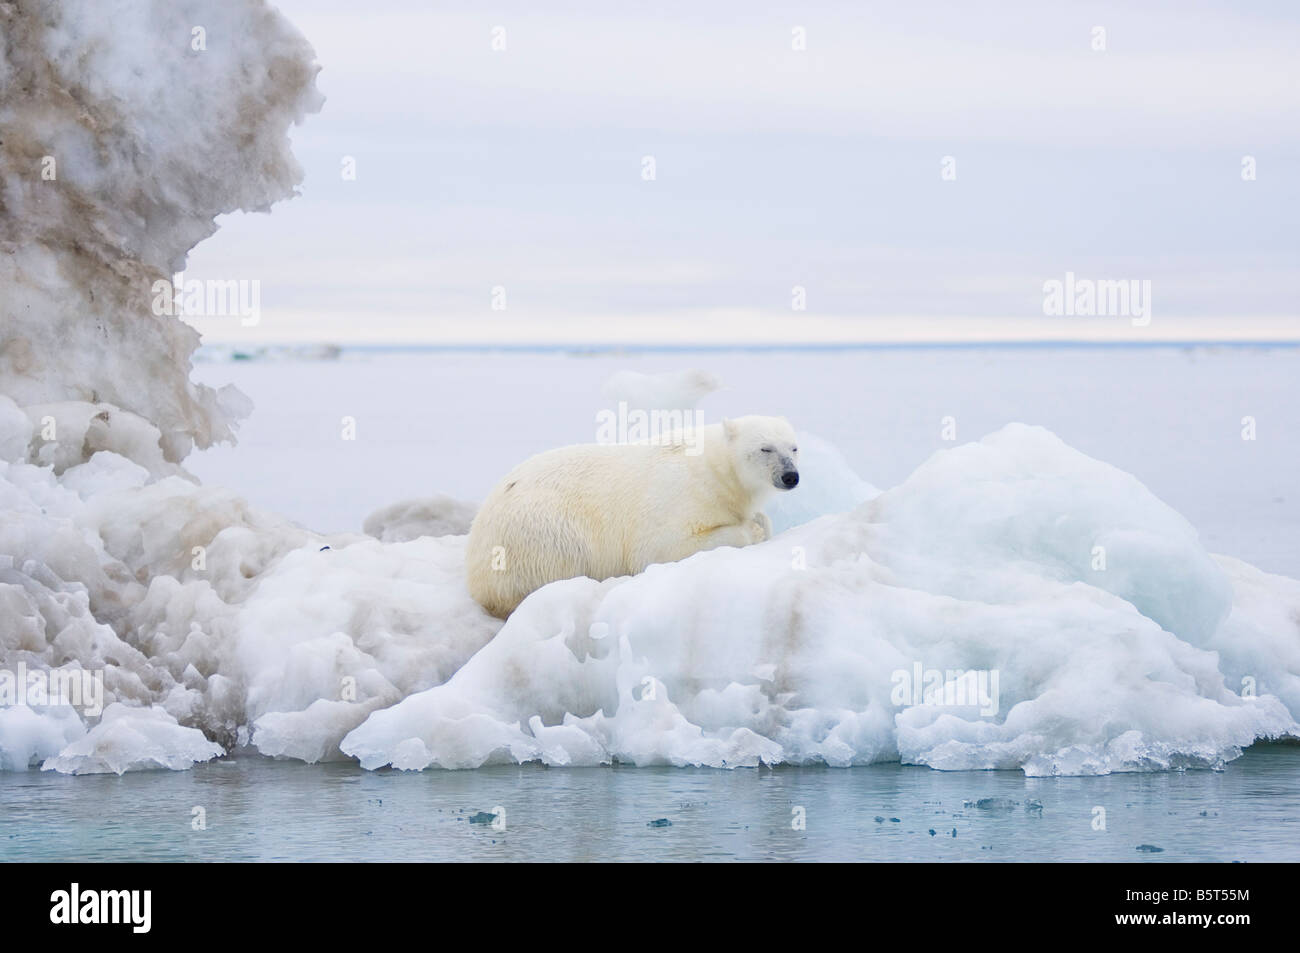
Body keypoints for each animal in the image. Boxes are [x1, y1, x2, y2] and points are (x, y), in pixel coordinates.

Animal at [465, 415, 800, 618]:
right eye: (765, 448)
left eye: (794, 448)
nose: (790, 476)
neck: (716, 470)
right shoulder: (680, 495)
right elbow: (662, 548)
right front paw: (751, 529)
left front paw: (759, 521)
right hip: (542, 532)